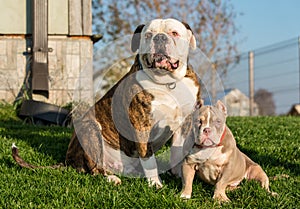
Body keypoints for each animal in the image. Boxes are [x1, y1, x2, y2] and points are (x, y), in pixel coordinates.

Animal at [11, 18, 202, 188]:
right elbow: (148, 158)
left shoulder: (185, 123)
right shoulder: (142, 125)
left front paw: (179, 176)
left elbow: (177, 151)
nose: (159, 38)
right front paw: (155, 183)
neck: (167, 82)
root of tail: (68, 160)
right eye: (148, 35)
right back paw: (110, 178)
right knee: (95, 168)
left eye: (174, 33)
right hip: (91, 129)